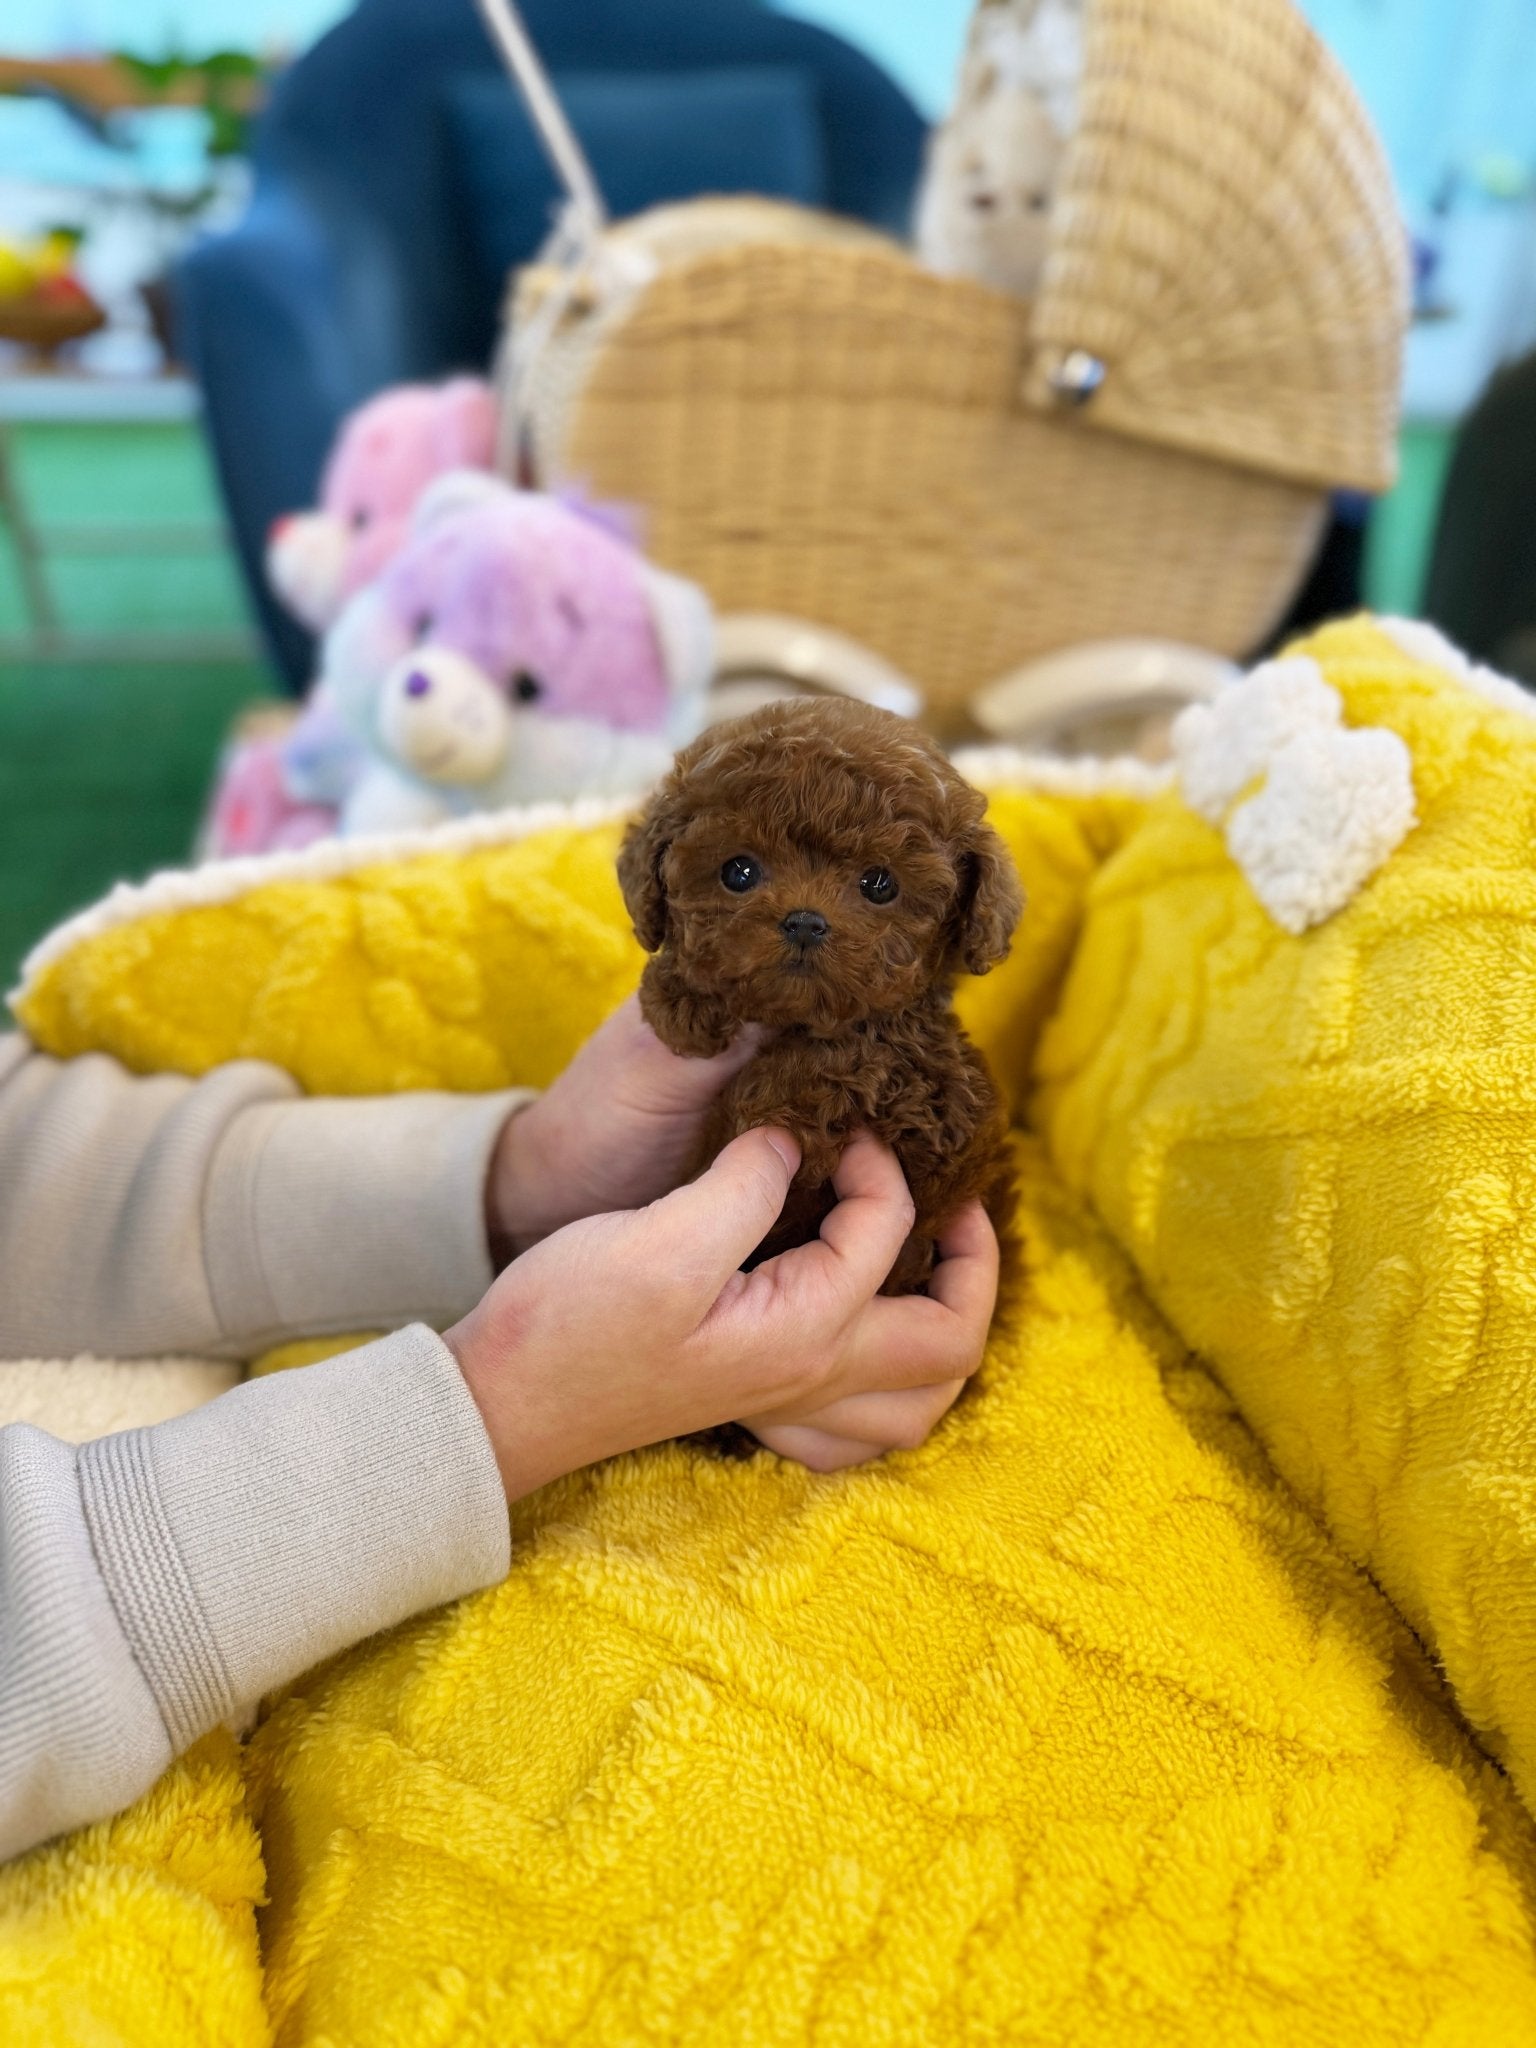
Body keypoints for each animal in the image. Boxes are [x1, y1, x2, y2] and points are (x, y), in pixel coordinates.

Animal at [618, 696, 1028, 1286]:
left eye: (880, 884)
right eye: (738, 872)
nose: (805, 922)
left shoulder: (944, 1116)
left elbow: (863, 1049)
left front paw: (772, 1095)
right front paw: (684, 1001)